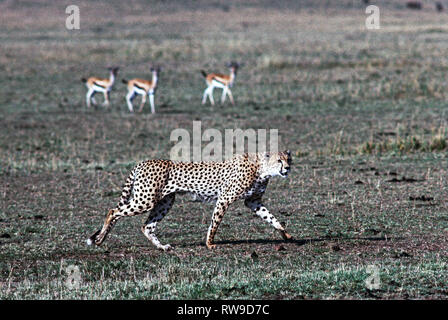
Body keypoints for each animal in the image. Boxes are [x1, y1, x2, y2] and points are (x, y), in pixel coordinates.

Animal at [86, 150, 294, 250]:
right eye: (279, 160)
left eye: (289, 159)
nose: (287, 168)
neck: (261, 168)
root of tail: (143, 162)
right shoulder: (224, 198)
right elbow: (215, 223)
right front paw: (209, 243)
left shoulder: (253, 201)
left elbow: (272, 218)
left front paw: (287, 235)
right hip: (145, 200)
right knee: (113, 211)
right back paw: (100, 239)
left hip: (165, 202)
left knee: (147, 226)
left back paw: (162, 247)